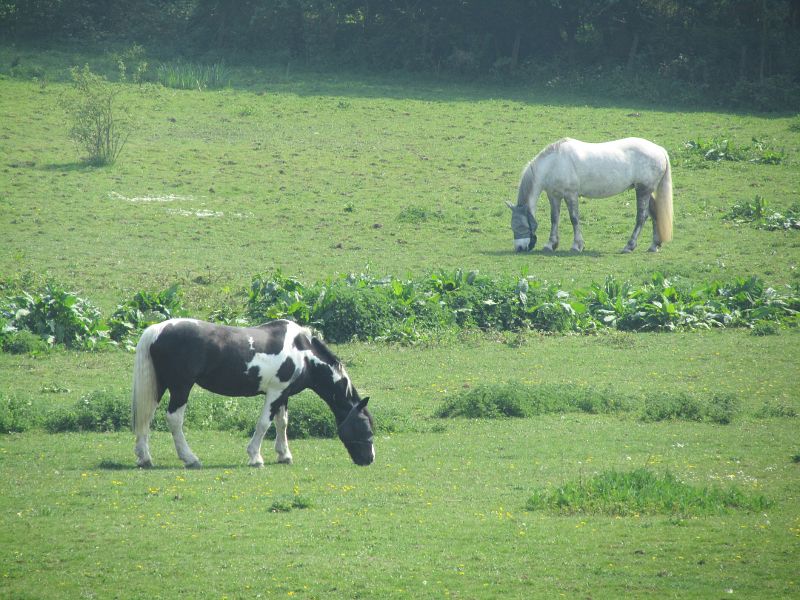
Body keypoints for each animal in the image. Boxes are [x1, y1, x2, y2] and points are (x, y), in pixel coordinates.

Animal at [132, 318, 376, 468]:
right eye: (366, 427)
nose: (369, 459)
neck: (303, 353)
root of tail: (157, 329)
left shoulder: (284, 395)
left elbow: (281, 423)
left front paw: (284, 455)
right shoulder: (274, 393)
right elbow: (264, 424)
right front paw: (256, 457)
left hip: (160, 386)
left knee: (146, 417)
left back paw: (145, 458)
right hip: (181, 387)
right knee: (174, 419)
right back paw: (190, 458)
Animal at [506, 138, 676, 253]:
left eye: (520, 225)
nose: (519, 248)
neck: (554, 163)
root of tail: (659, 150)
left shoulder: (571, 195)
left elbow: (574, 219)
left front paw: (577, 245)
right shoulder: (554, 195)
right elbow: (554, 219)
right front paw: (551, 244)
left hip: (643, 190)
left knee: (642, 217)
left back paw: (629, 246)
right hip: (648, 191)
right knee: (655, 214)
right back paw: (654, 245)